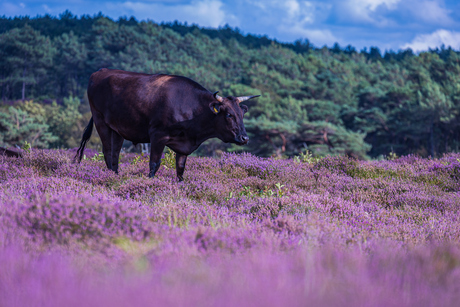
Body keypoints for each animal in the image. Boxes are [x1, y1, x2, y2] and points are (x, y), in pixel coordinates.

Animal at [77, 68, 260, 180]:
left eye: (242, 114)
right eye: (229, 114)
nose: (244, 138)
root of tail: (100, 72)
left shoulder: (183, 145)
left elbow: (180, 169)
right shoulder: (158, 135)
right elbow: (154, 164)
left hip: (117, 129)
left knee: (115, 154)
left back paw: (115, 175)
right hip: (101, 121)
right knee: (107, 151)